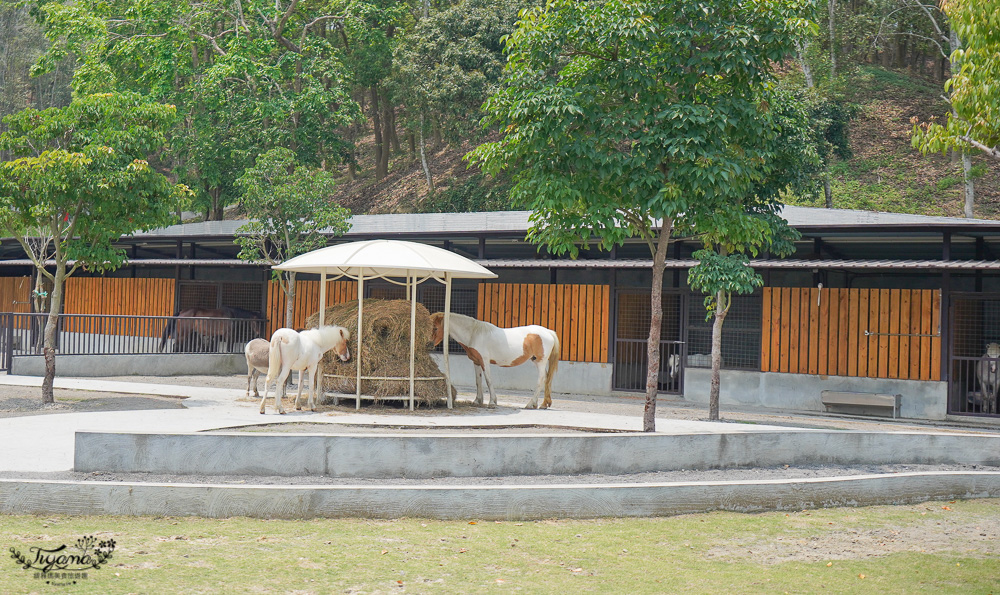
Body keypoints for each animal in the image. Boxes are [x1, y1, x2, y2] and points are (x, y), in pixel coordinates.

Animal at [428, 312, 560, 410]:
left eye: (435, 328)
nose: (429, 345)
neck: (474, 334)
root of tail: (548, 332)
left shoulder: (485, 362)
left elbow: (488, 380)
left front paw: (492, 402)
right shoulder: (476, 362)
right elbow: (478, 381)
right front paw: (477, 401)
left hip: (540, 362)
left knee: (541, 379)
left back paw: (530, 404)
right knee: (546, 378)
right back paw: (541, 404)